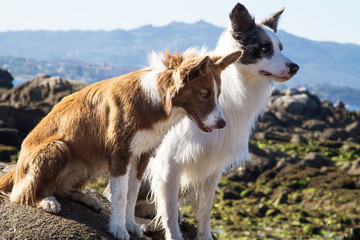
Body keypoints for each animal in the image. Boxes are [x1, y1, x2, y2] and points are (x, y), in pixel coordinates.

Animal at [0, 49, 242, 240]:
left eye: (217, 94)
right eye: (204, 94)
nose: (223, 124)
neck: (154, 101)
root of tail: (18, 164)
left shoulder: (142, 154)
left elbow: (131, 194)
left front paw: (131, 225)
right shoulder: (120, 153)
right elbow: (119, 195)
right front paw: (118, 229)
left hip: (87, 161)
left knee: (62, 188)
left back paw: (88, 199)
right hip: (59, 148)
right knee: (20, 193)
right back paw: (45, 201)